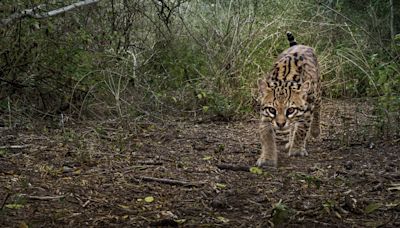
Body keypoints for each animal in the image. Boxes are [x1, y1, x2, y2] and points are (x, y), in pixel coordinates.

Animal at [256, 31, 322, 167]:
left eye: (290, 110)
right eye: (272, 110)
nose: (281, 124)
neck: (284, 81)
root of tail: (301, 45)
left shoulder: (307, 109)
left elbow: (301, 129)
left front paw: (296, 149)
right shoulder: (265, 115)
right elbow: (266, 135)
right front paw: (267, 158)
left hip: (316, 91)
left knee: (318, 107)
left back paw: (315, 130)